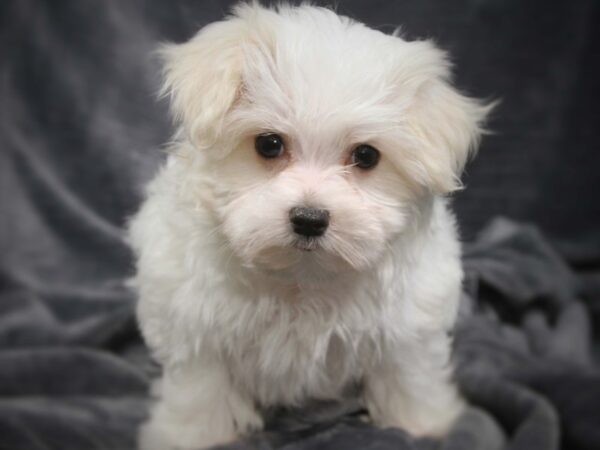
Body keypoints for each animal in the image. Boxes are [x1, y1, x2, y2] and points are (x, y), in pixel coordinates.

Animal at [129, 1, 490, 448]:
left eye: (366, 156)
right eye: (269, 144)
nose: (309, 219)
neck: (302, 278)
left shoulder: (408, 327)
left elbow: (410, 376)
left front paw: (424, 424)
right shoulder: (194, 326)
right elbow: (201, 393)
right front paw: (192, 436)